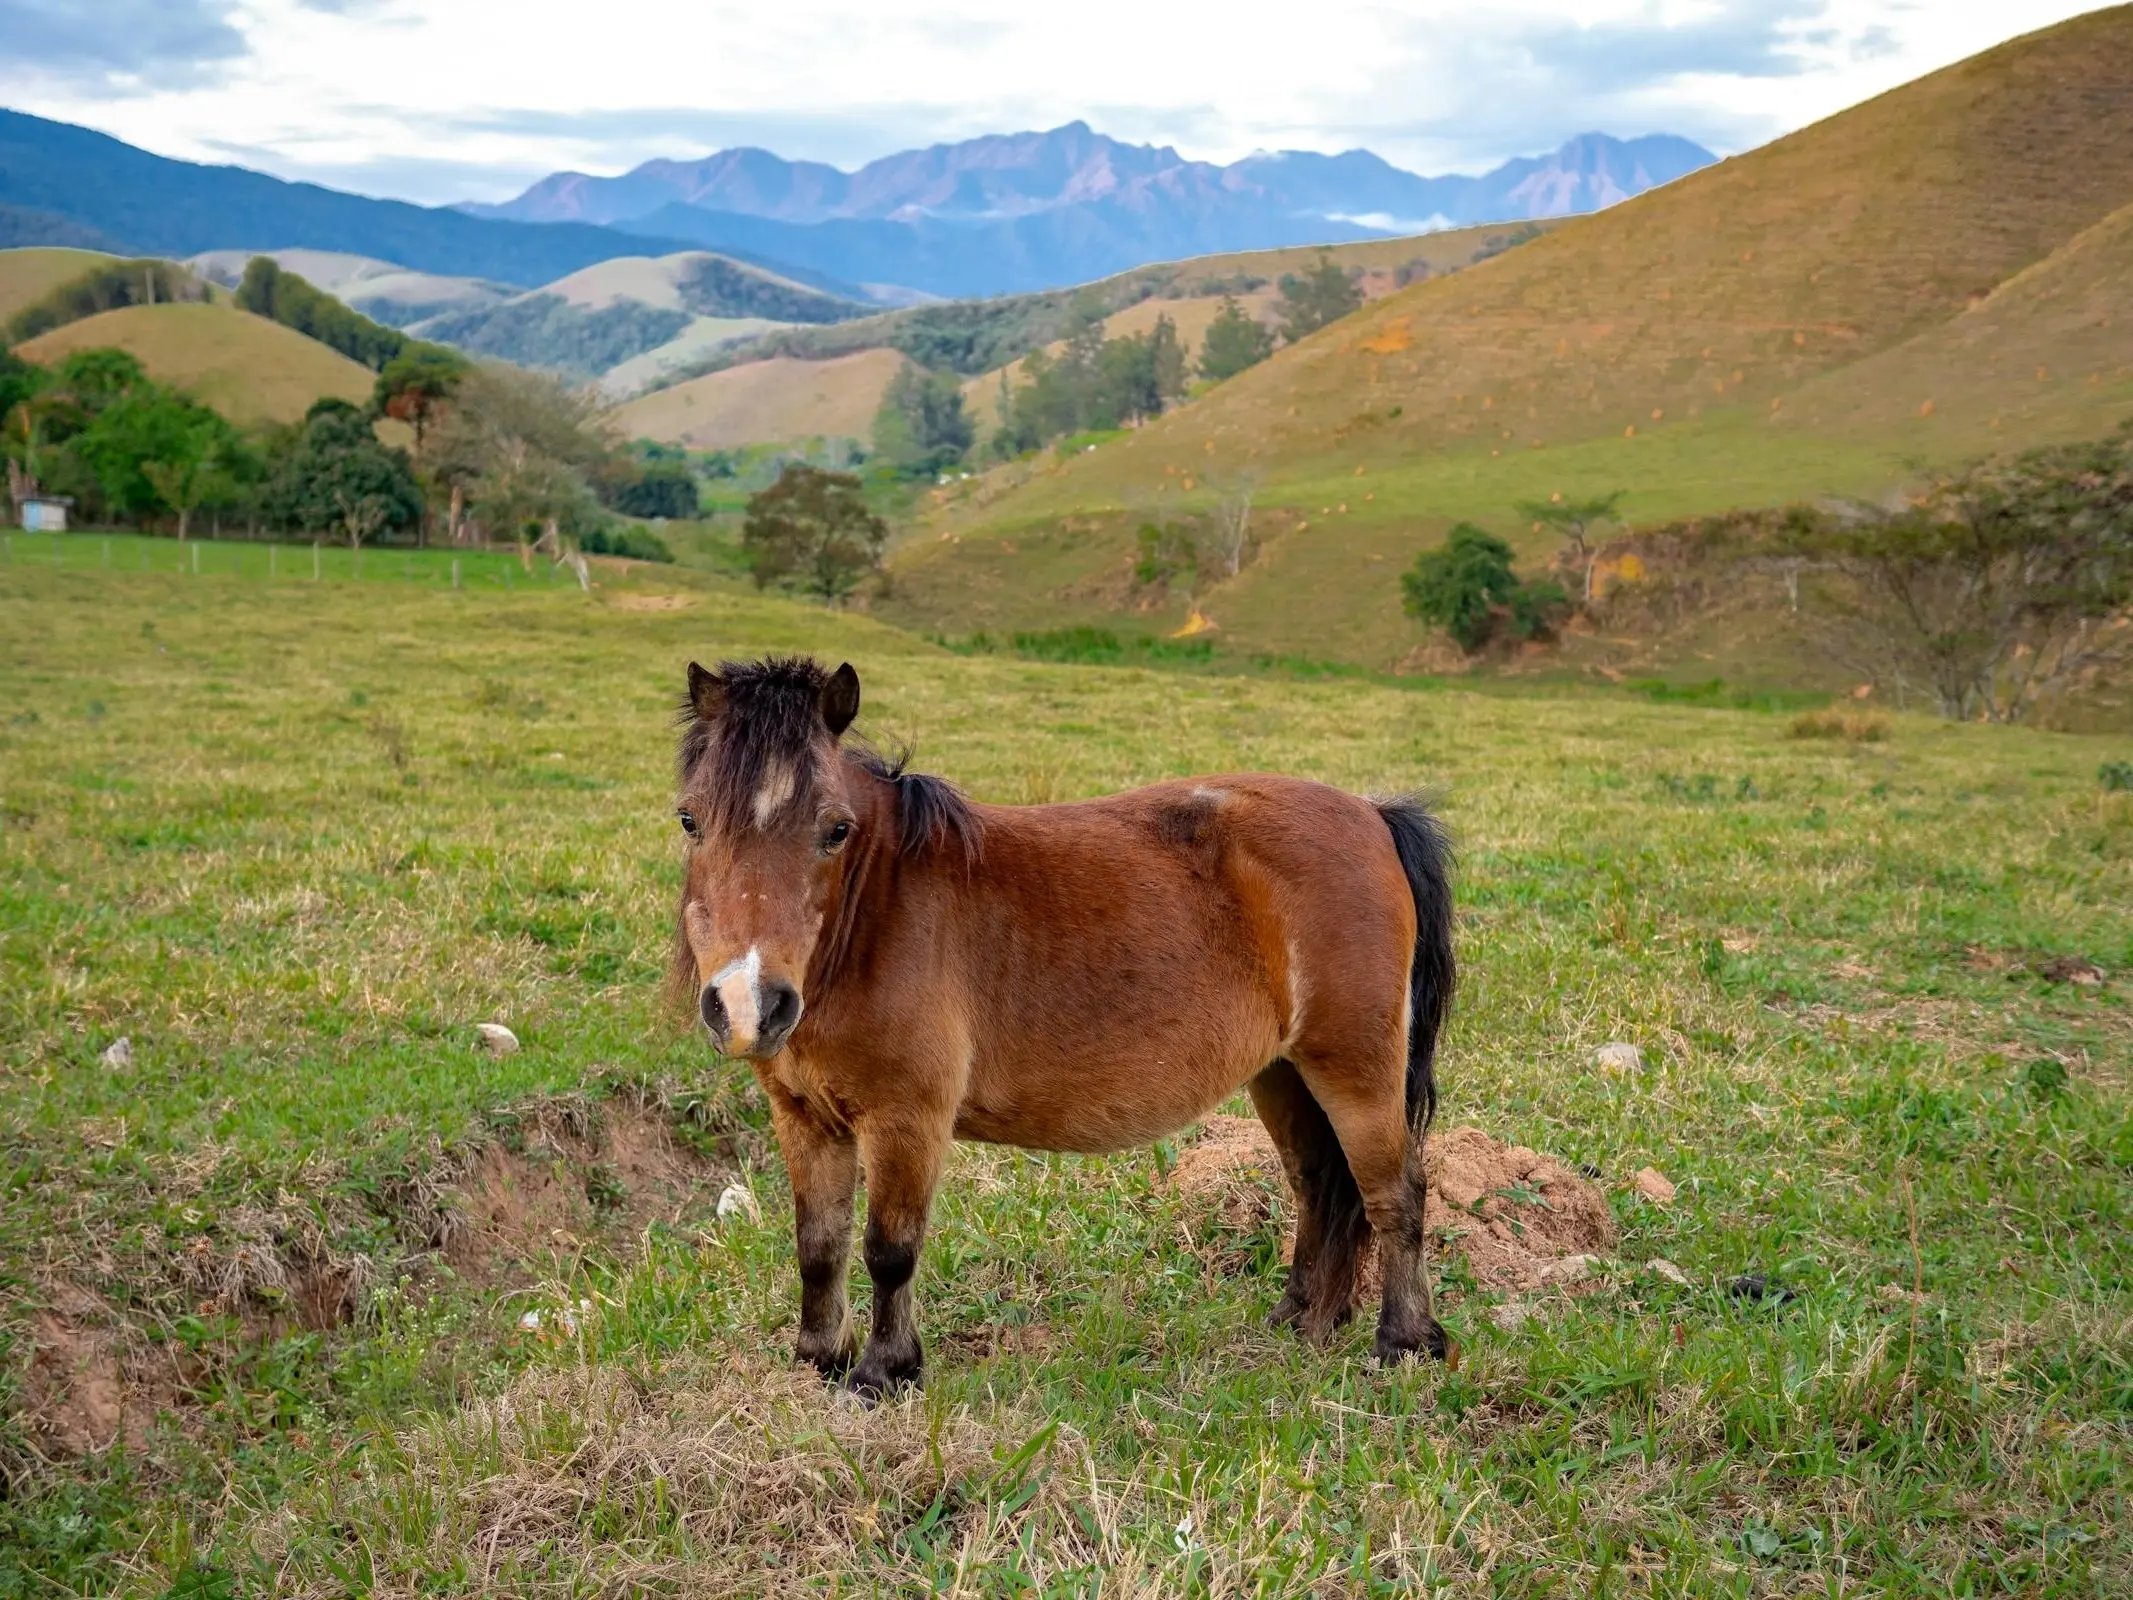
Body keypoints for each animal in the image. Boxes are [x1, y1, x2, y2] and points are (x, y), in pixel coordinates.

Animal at [670, 655, 1455, 1397]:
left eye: (835, 830)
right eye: (689, 820)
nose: (747, 1002)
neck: (874, 912)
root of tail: (1370, 813)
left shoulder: (906, 1121)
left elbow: (888, 1251)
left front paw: (883, 1373)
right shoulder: (805, 1117)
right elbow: (818, 1247)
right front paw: (817, 1361)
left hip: (1354, 1069)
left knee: (1395, 1191)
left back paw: (1405, 1341)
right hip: (1282, 1074)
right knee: (1318, 1184)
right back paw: (1298, 1320)